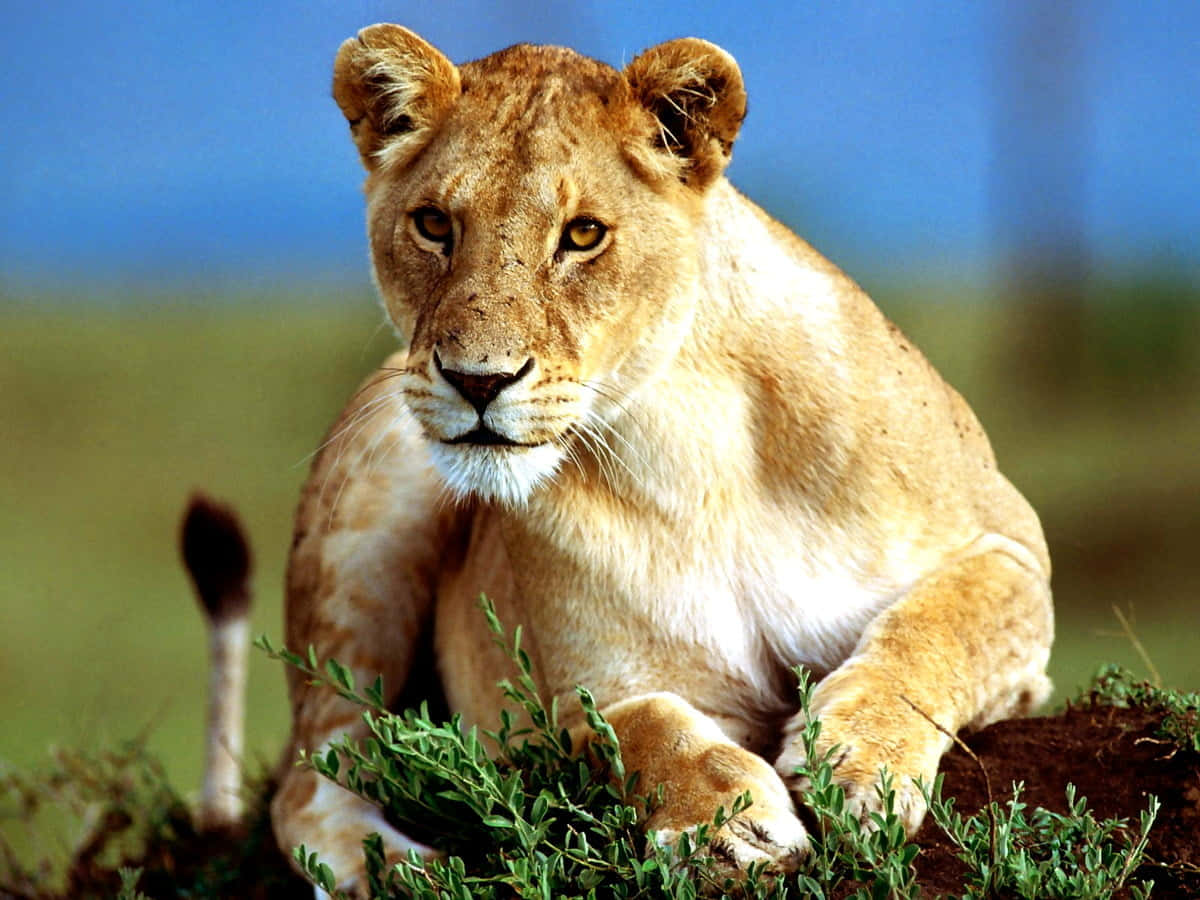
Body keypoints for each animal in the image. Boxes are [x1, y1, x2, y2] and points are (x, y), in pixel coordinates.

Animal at [267, 24, 1054, 895]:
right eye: (434, 224)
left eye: (583, 234)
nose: (478, 380)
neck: (692, 440)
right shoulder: (583, 693)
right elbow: (634, 727)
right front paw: (728, 827)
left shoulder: (1011, 547)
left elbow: (940, 627)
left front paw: (860, 761)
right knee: (309, 782)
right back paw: (419, 872)